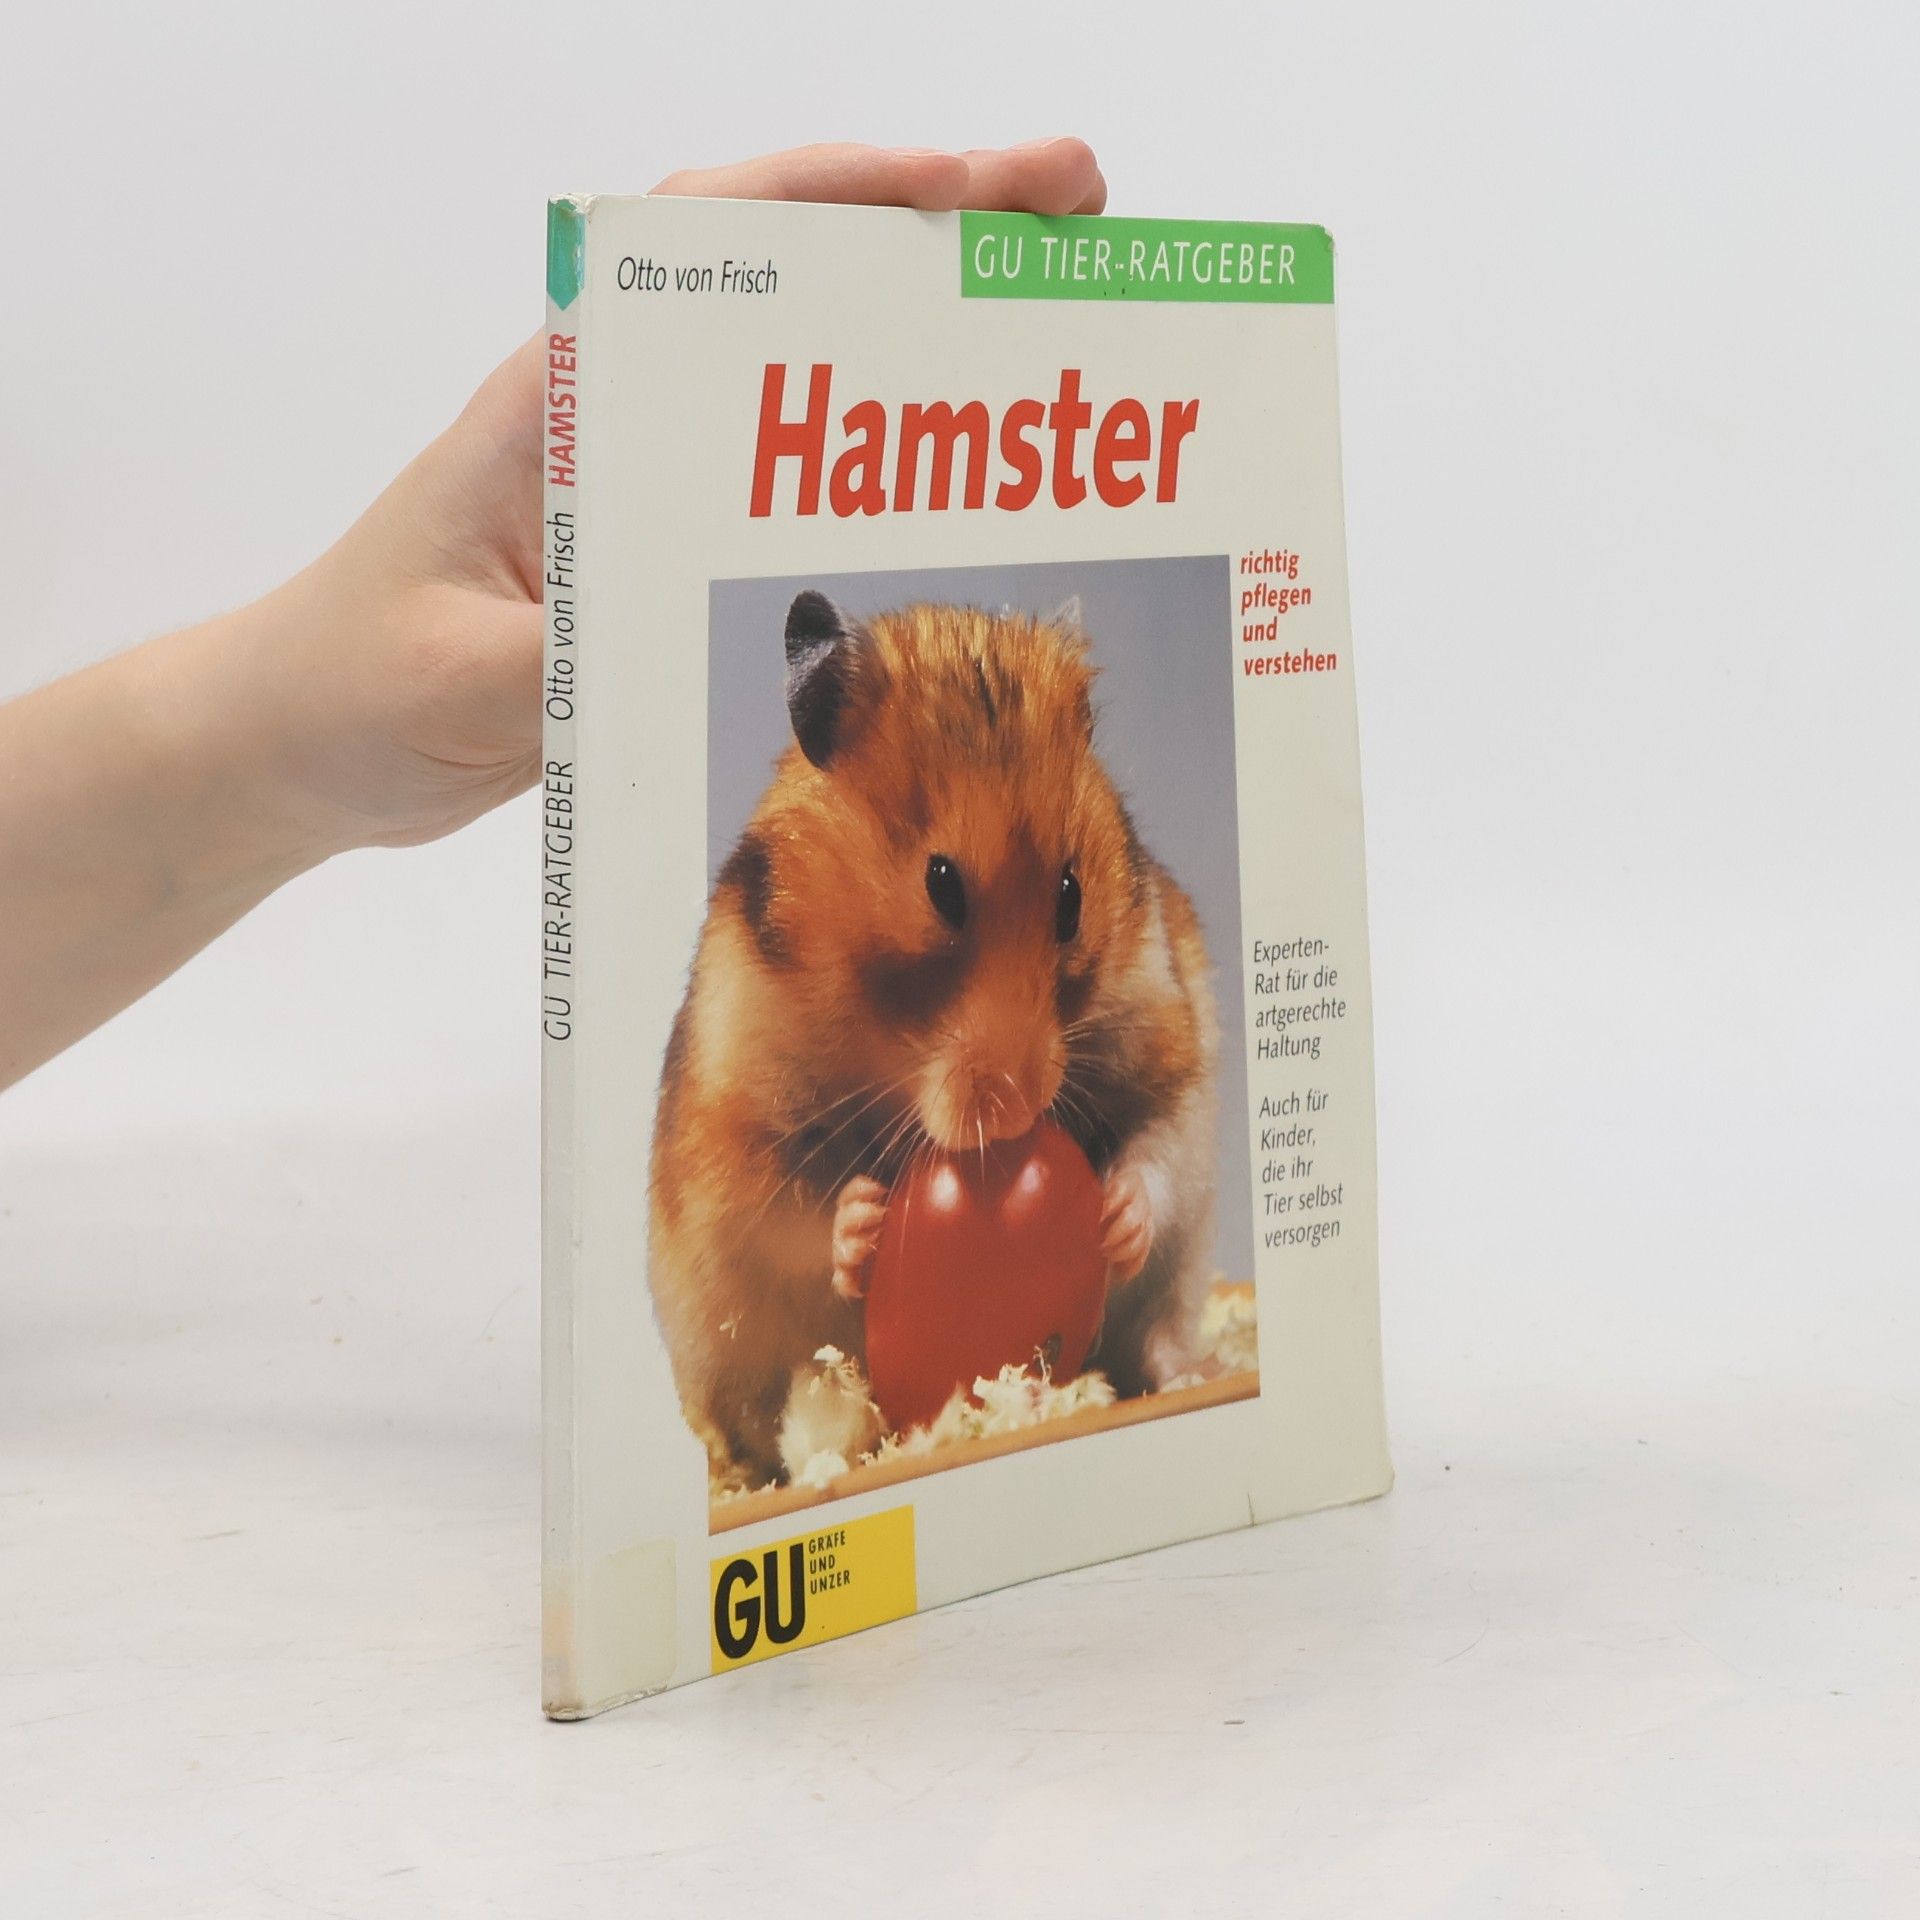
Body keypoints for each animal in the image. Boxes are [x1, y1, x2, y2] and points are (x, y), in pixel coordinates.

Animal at [648, 591, 1221, 1488]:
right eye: (940, 886)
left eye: (1072, 895)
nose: (1019, 1114)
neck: (887, 1049)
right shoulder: (733, 1136)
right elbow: (792, 1214)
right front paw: (864, 1223)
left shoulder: (1167, 1038)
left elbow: (1156, 1152)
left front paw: (1113, 1216)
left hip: (1177, 1284)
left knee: (1158, 1334)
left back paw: (1195, 1374)